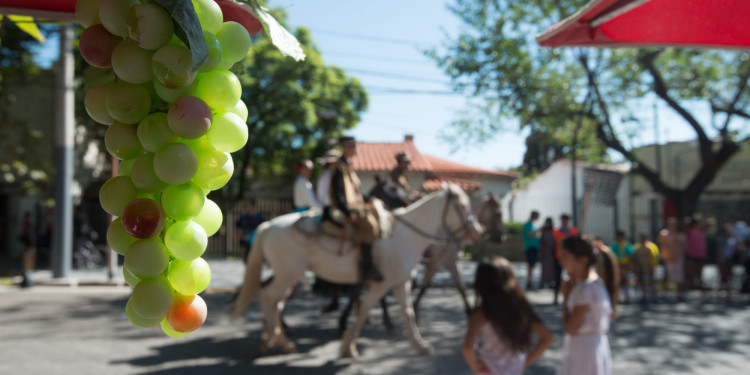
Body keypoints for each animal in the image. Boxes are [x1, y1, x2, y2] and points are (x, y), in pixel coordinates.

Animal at [232, 185, 484, 358]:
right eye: (463, 206)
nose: (477, 232)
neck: (403, 236)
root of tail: (268, 225)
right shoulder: (380, 284)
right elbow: (363, 310)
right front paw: (347, 346)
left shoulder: (400, 283)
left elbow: (408, 313)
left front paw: (420, 344)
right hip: (288, 275)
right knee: (268, 297)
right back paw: (279, 341)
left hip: (289, 276)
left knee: (274, 301)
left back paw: (271, 337)